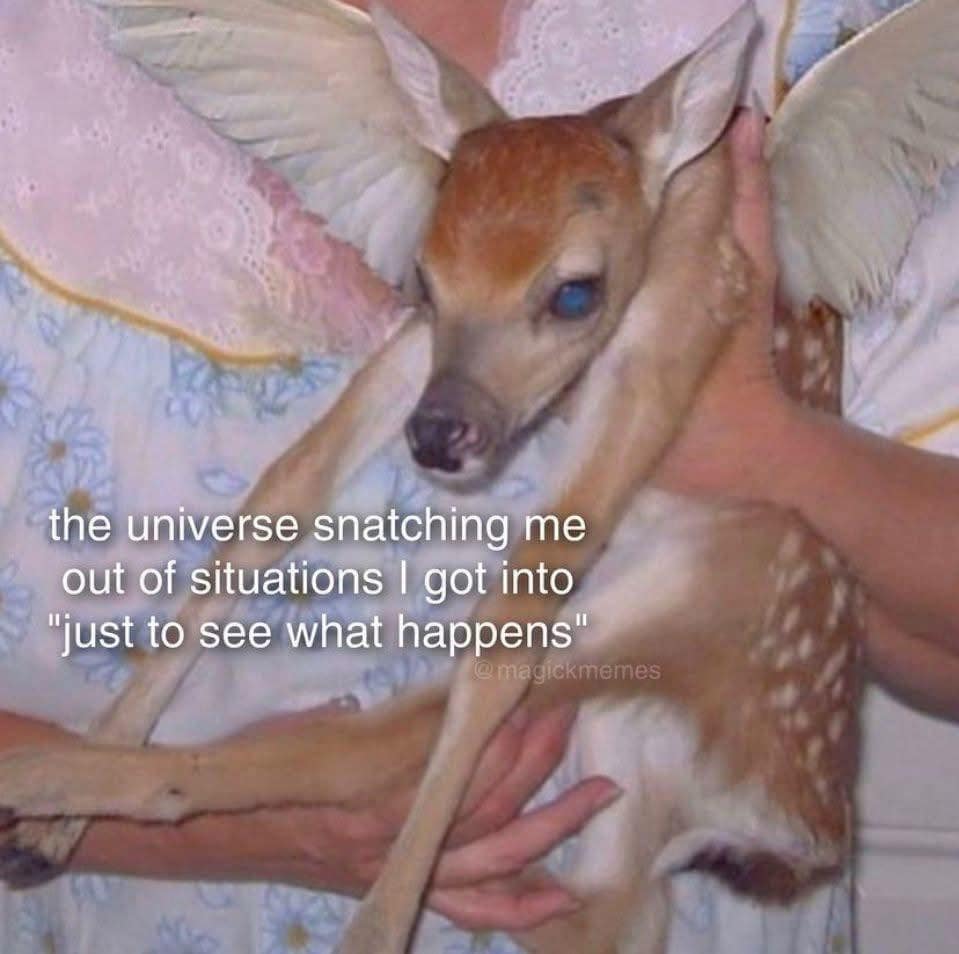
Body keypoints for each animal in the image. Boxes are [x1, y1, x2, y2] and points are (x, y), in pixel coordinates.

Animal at [1, 0, 959, 951]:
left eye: (574, 292)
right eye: (423, 278)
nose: (437, 439)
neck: (685, 201)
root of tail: (801, 832)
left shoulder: (668, 346)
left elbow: (505, 629)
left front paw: (383, 924)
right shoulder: (426, 350)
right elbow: (283, 491)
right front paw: (79, 797)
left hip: (672, 616)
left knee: (369, 747)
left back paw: (48, 777)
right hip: (623, 761)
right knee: (595, 910)